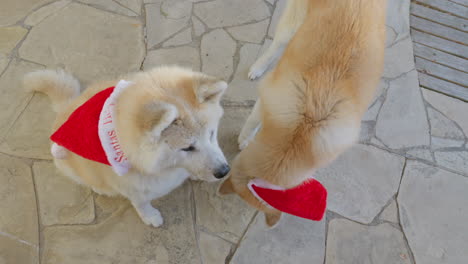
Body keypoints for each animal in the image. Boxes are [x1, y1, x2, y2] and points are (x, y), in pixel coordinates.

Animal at [25, 66, 230, 227]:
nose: (224, 171)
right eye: (187, 147)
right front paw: (150, 217)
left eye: (211, 134)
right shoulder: (133, 187)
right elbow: (141, 203)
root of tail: (65, 109)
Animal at [219, 0, 388, 227]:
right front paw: (244, 139)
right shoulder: (267, 98)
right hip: (292, 24)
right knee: (277, 44)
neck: (304, 129)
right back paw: (258, 67)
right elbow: (251, 123)